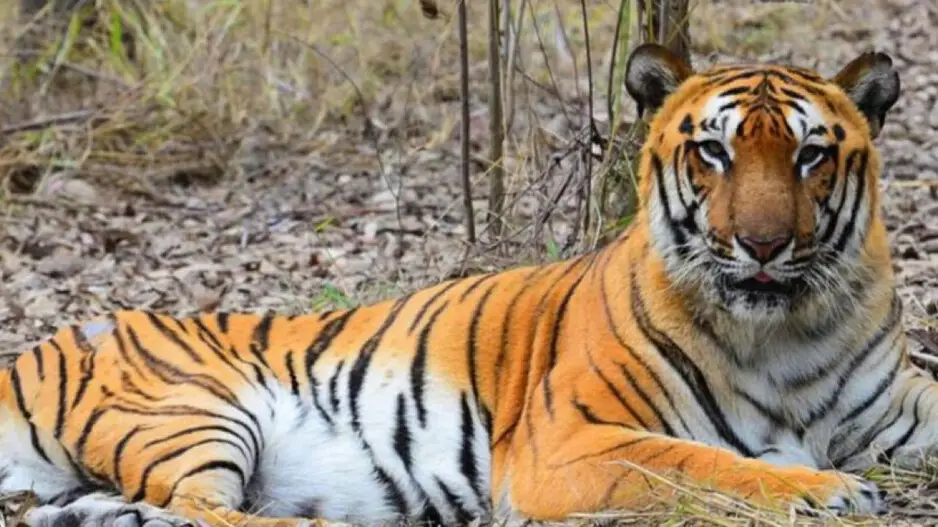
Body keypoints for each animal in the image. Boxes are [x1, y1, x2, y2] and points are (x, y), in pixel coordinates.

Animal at [0, 42, 930, 527]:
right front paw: (829, 489)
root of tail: (30, 350)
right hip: (191, 409)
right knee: (210, 511)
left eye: (810, 154)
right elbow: (711, 464)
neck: (786, 331)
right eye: (714, 152)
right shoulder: (566, 442)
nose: (763, 243)